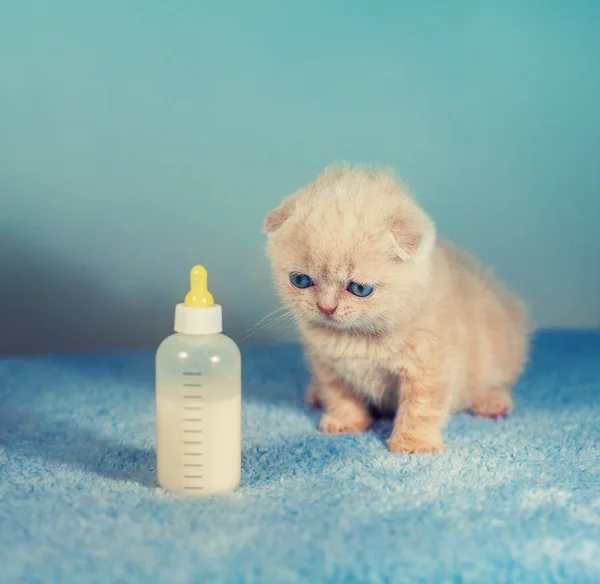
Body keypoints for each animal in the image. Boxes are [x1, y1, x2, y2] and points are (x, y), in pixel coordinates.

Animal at [264, 167, 528, 454]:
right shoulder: (327, 365)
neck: (357, 338)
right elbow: (339, 394)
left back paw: (493, 402)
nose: (326, 307)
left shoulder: (431, 366)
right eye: (300, 280)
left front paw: (413, 444)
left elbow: (420, 406)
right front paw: (346, 423)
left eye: (359, 288)